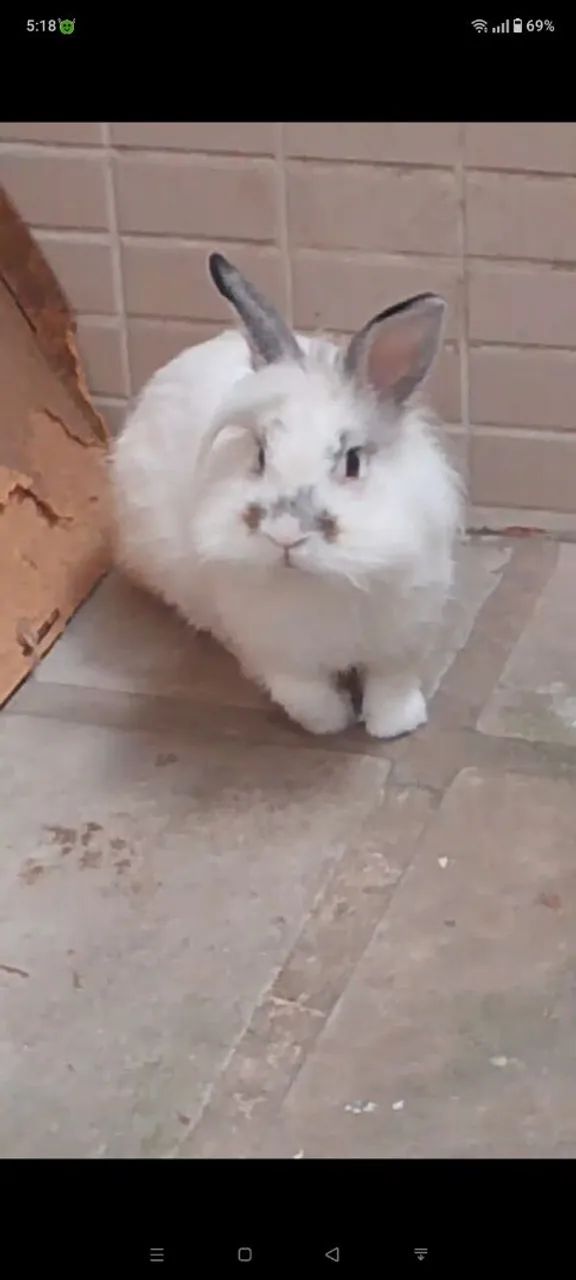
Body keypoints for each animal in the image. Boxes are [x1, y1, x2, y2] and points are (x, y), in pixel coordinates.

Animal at [111, 252, 463, 738]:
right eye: (260, 454)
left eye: (352, 462)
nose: (285, 534)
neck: (323, 580)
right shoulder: (278, 654)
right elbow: (306, 696)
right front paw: (332, 724)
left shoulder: (404, 635)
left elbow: (391, 683)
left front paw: (394, 725)